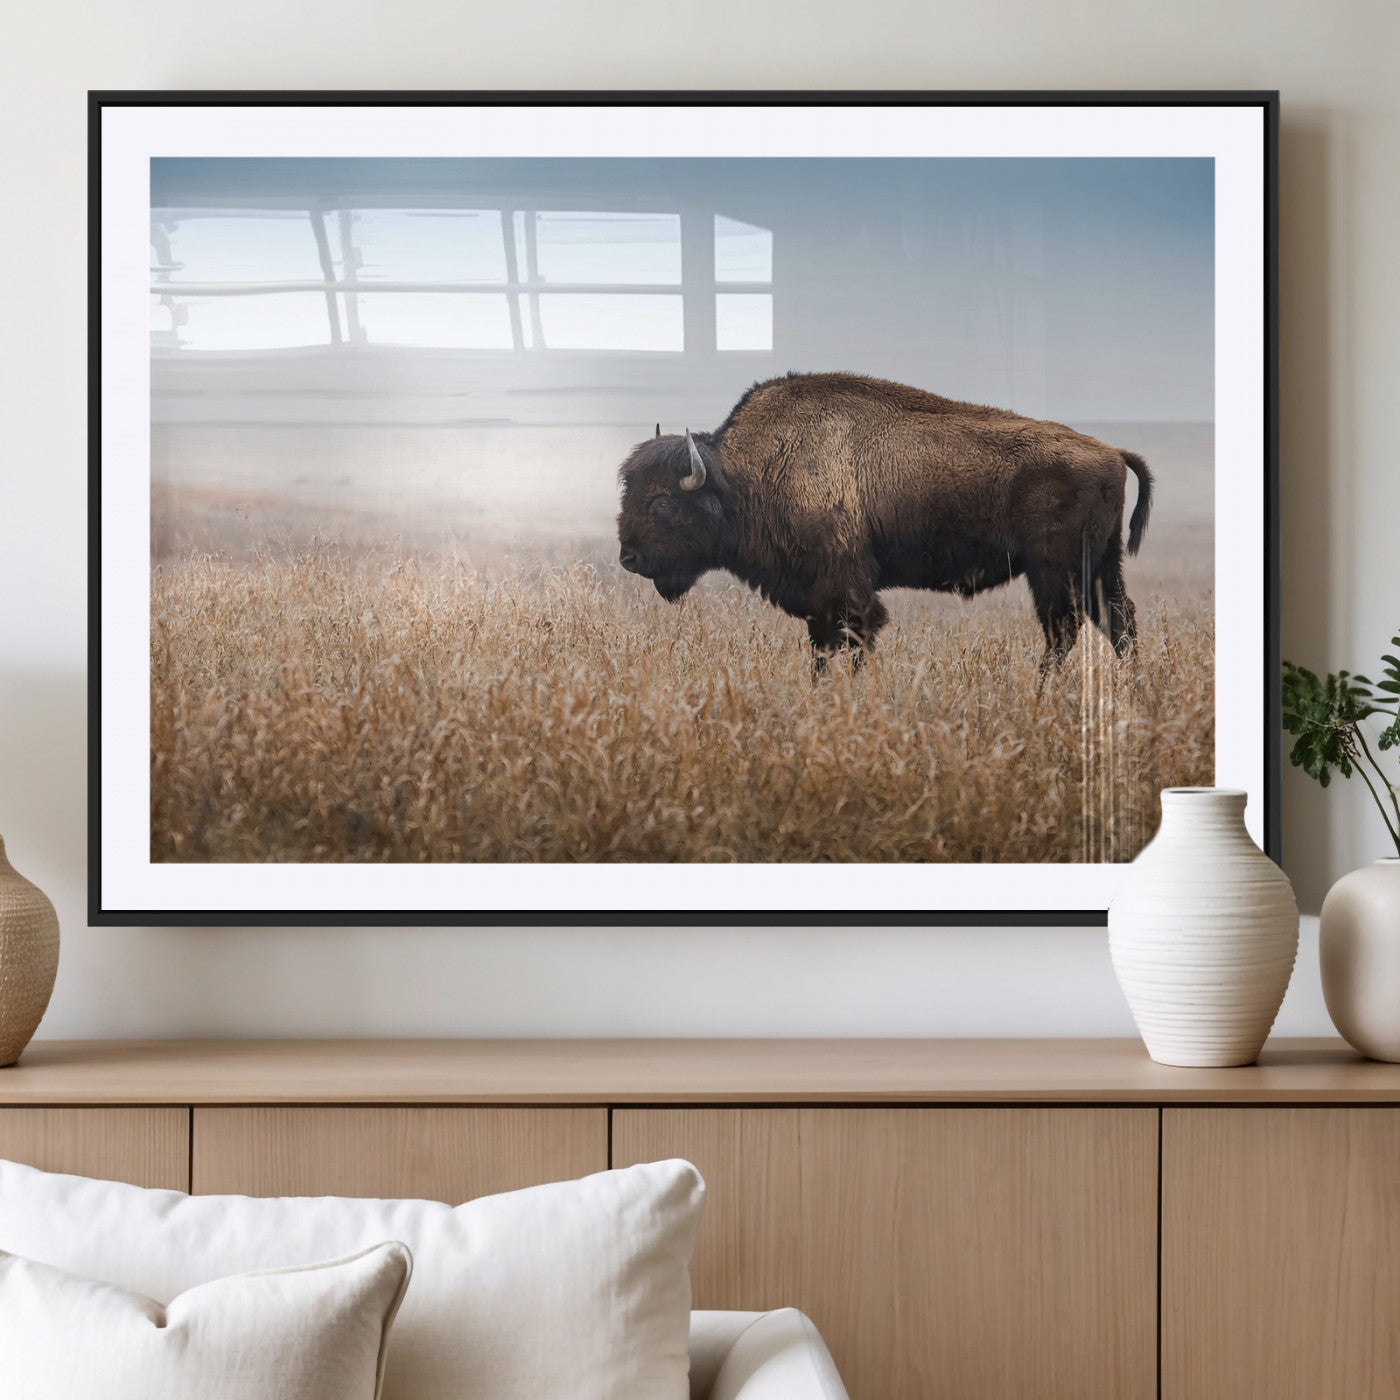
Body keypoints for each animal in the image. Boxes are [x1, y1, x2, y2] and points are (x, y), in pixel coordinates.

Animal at [616, 372, 1153, 671]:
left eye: (662, 502)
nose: (628, 557)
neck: (745, 475)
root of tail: (1111, 451)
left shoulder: (847, 591)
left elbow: (854, 641)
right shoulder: (818, 601)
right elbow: (822, 651)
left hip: (1055, 570)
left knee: (1065, 630)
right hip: (1100, 566)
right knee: (1117, 622)